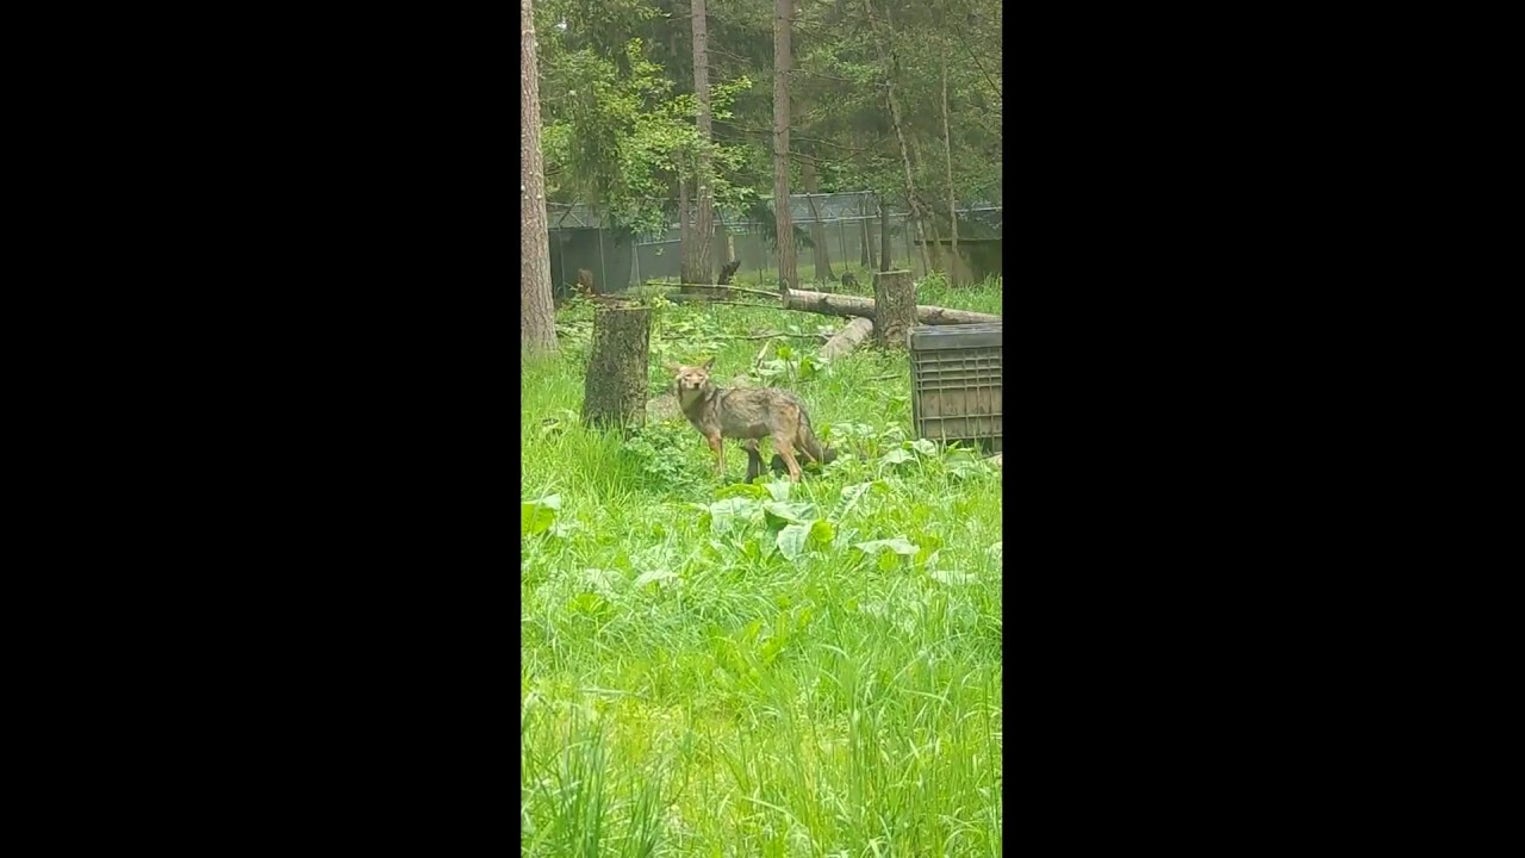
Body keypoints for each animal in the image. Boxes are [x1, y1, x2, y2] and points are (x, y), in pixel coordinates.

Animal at [667, 358, 836, 482]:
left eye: (700, 376)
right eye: (688, 376)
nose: (697, 384)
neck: (699, 402)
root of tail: (792, 396)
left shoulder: (714, 438)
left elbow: (718, 465)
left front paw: (718, 481)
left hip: (781, 445)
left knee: (796, 470)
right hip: (797, 444)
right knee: (813, 462)